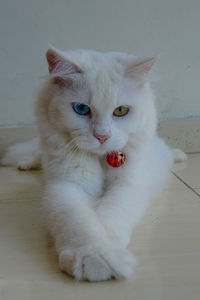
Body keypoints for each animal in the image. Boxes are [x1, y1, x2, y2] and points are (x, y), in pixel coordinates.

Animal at [1, 48, 186, 280]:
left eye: (121, 110)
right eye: (81, 109)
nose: (102, 136)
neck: (101, 158)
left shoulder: (129, 184)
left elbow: (110, 212)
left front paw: (111, 243)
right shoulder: (66, 185)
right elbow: (80, 222)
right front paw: (95, 257)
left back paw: (179, 155)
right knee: (37, 154)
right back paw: (25, 164)